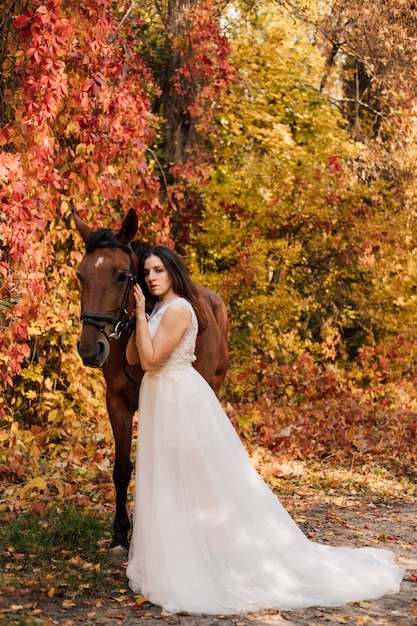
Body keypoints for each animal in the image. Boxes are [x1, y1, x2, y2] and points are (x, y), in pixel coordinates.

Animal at [73, 210, 229, 560]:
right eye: (80, 275)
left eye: (122, 276)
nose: (90, 349)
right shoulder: (117, 402)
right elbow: (121, 469)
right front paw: (120, 536)